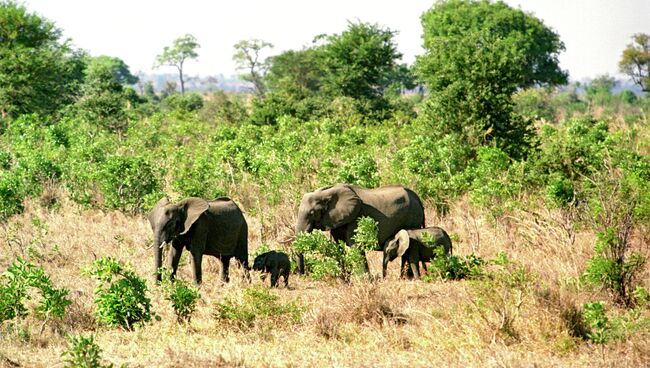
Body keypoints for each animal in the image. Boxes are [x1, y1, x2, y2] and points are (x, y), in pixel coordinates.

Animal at [294, 183, 426, 274]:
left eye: (311, 213)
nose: (302, 274)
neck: (326, 193)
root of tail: (418, 198)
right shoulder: (337, 219)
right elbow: (337, 246)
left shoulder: (356, 218)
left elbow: (355, 246)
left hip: (413, 217)